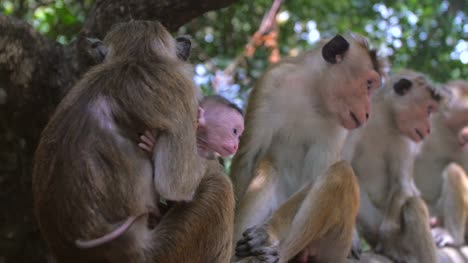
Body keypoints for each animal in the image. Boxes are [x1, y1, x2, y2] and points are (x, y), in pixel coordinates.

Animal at [230, 33, 384, 263]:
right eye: (368, 84)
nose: (367, 113)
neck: (313, 93)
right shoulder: (270, 84)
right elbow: (246, 159)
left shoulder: (337, 125)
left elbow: (317, 175)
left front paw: (268, 232)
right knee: (268, 167)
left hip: (334, 248)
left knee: (340, 173)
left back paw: (275, 250)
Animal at [342, 69, 448, 263]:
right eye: (429, 109)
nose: (429, 129)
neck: (384, 119)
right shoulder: (355, 123)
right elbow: (341, 166)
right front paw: (351, 239)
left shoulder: (405, 139)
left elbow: (402, 183)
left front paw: (388, 232)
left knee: (413, 205)